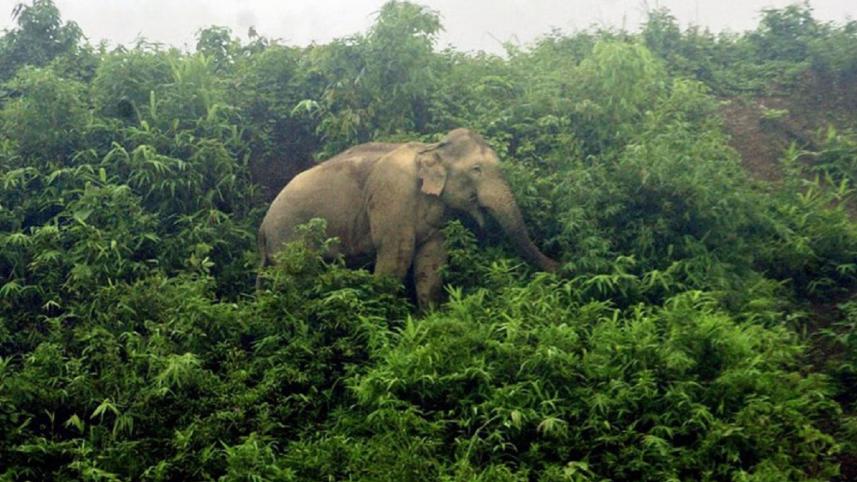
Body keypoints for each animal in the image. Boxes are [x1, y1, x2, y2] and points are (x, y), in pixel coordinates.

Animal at [257, 128, 558, 309]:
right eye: (476, 169)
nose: (564, 266)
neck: (431, 148)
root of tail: (262, 227)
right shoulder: (393, 194)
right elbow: (396, 256)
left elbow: (432, 261)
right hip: (288, 239)